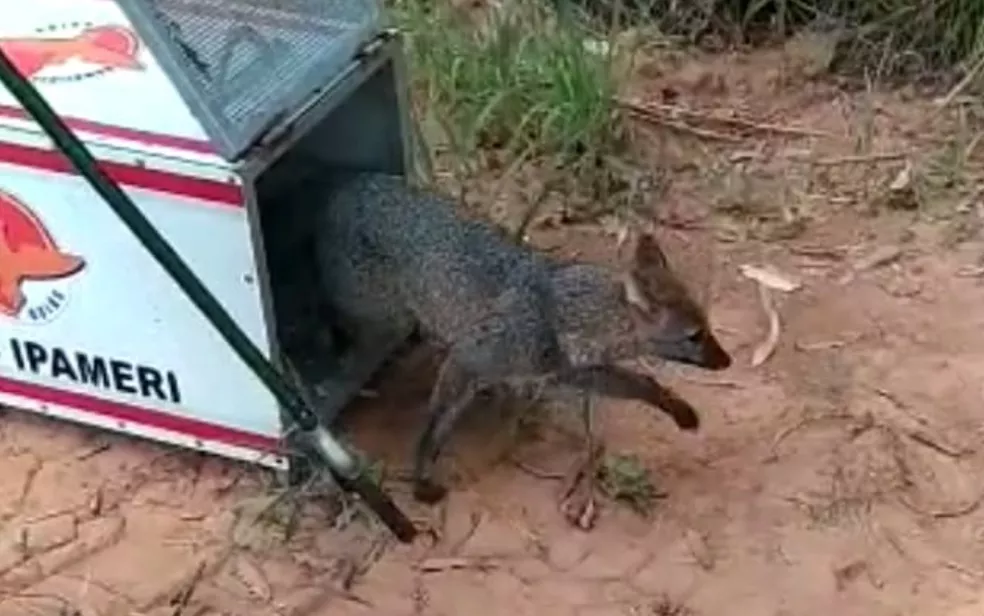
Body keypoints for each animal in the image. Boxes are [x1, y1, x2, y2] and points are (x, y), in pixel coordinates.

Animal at [309, 171, 731, 503]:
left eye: (708, 329)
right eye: (695, 336)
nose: (727, 361)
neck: (558, 310)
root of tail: (340, 189)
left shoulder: (566, 370)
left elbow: (641, 382)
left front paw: (678, 407)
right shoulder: (469, 358)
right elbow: (437, 424)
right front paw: (421, 476)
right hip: (383, 332)